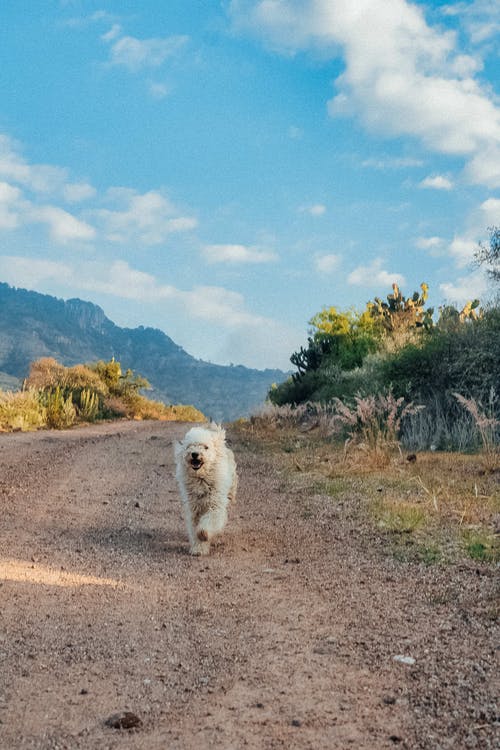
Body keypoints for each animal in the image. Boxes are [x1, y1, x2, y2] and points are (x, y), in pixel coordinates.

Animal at [175, 426, 237, 556]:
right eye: (189, 446)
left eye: (206, 447)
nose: (195, 454)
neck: (201, 479)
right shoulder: (194, 509)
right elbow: (194, 528)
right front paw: (198, 548)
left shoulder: (215, 505)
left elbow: (209, 521)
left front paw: (203, 534)